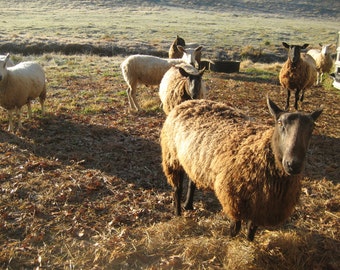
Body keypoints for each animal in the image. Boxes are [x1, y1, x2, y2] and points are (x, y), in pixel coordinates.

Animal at [161, 98, 322, 242]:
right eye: (280, 123)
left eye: (311, 128)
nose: (293, 164)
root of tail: (190, 101)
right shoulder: (234, 200)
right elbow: (235, 229)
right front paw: (231, 243)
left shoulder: (261, 207)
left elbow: (251, 230)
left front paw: (249, 244)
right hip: (172, 157)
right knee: (177, 189)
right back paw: (178, 213)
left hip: (194, 161)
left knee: (192, 181)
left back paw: (188, 205)